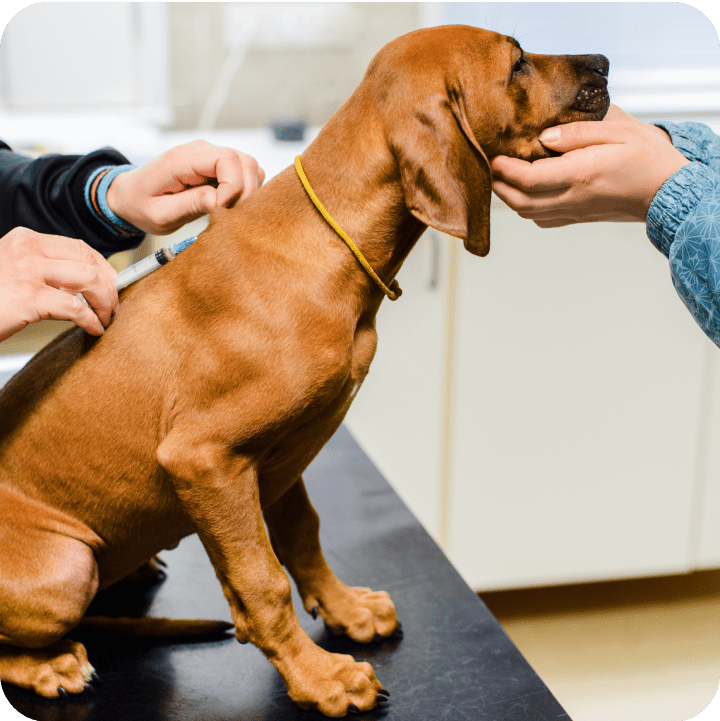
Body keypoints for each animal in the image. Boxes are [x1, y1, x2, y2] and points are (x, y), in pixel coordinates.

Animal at [0, 25, 608, 716]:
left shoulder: (280, 456)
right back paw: (48, 665)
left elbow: (302, 536)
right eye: (517, 63)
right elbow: (261, 584)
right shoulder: (204, 460)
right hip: (66, 567)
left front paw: (345, 609)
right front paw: (320, 678)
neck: (327, 245)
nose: (605, 64)